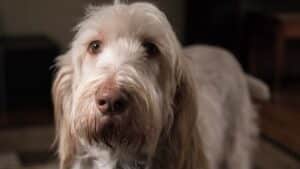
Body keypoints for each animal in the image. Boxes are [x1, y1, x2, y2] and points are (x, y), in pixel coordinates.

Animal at [52, 1, 270, 169]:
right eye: (94, 46)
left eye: (151, 48)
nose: (111, 100)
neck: (119, 155)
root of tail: (226, 54)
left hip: (237, 150)